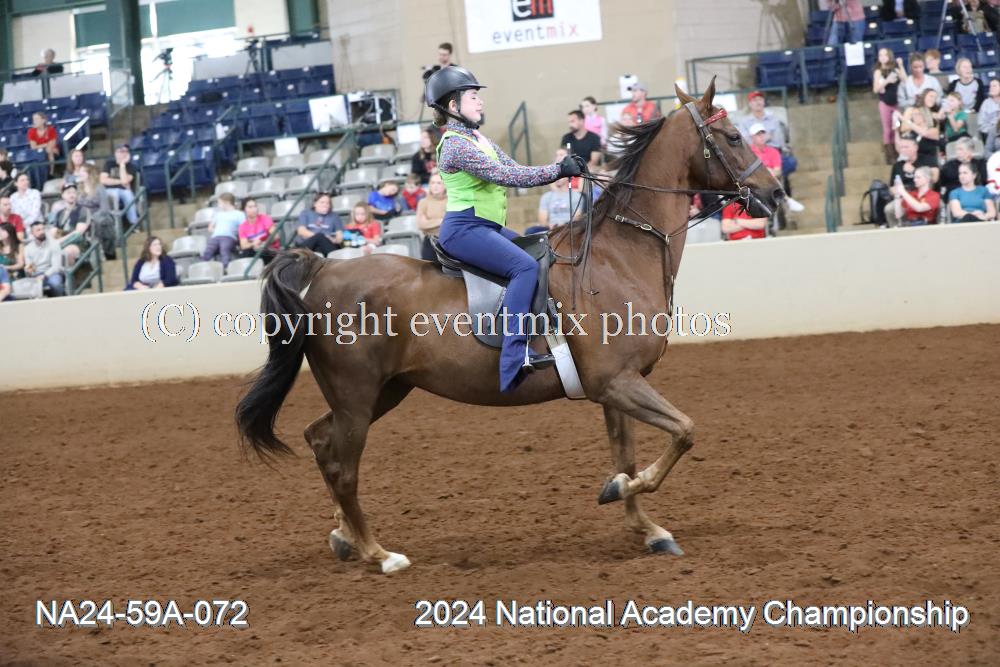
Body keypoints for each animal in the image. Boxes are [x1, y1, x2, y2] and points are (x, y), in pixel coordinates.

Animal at [235, 81, 784, 574]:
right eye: (733, 136)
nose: (774, 193)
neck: (619, 254)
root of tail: (325, 270)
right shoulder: (617, 382)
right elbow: (682, 433)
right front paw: (619, 493)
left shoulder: (615, 388)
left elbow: (626, 455)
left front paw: (647, 528)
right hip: (357, 397)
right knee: (343, 467)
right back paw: (379, 553)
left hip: (381, 393)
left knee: (320, 441)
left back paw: (344, 535)